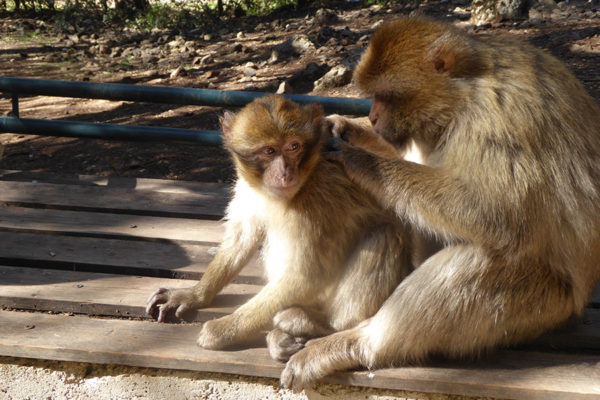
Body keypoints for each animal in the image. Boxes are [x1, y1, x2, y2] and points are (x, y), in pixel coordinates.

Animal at [145, 94, 412, 356]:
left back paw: (320, 325)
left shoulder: (318, 200)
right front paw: (195, 294)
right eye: (269, 151)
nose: (285, 173)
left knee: (384, 232)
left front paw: (223, 330)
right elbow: (242, 238)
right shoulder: (250, 188)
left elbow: (305, 276)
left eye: (294, 147)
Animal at [280, 17, 600, 390]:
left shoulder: (497, 119)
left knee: (484, 254)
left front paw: (358, 158)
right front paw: (343, 127)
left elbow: (499, 215)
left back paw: (357, 344)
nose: (371, 117)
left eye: (386, 96)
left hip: (542, 307)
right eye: (373, 98)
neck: (464, 92)